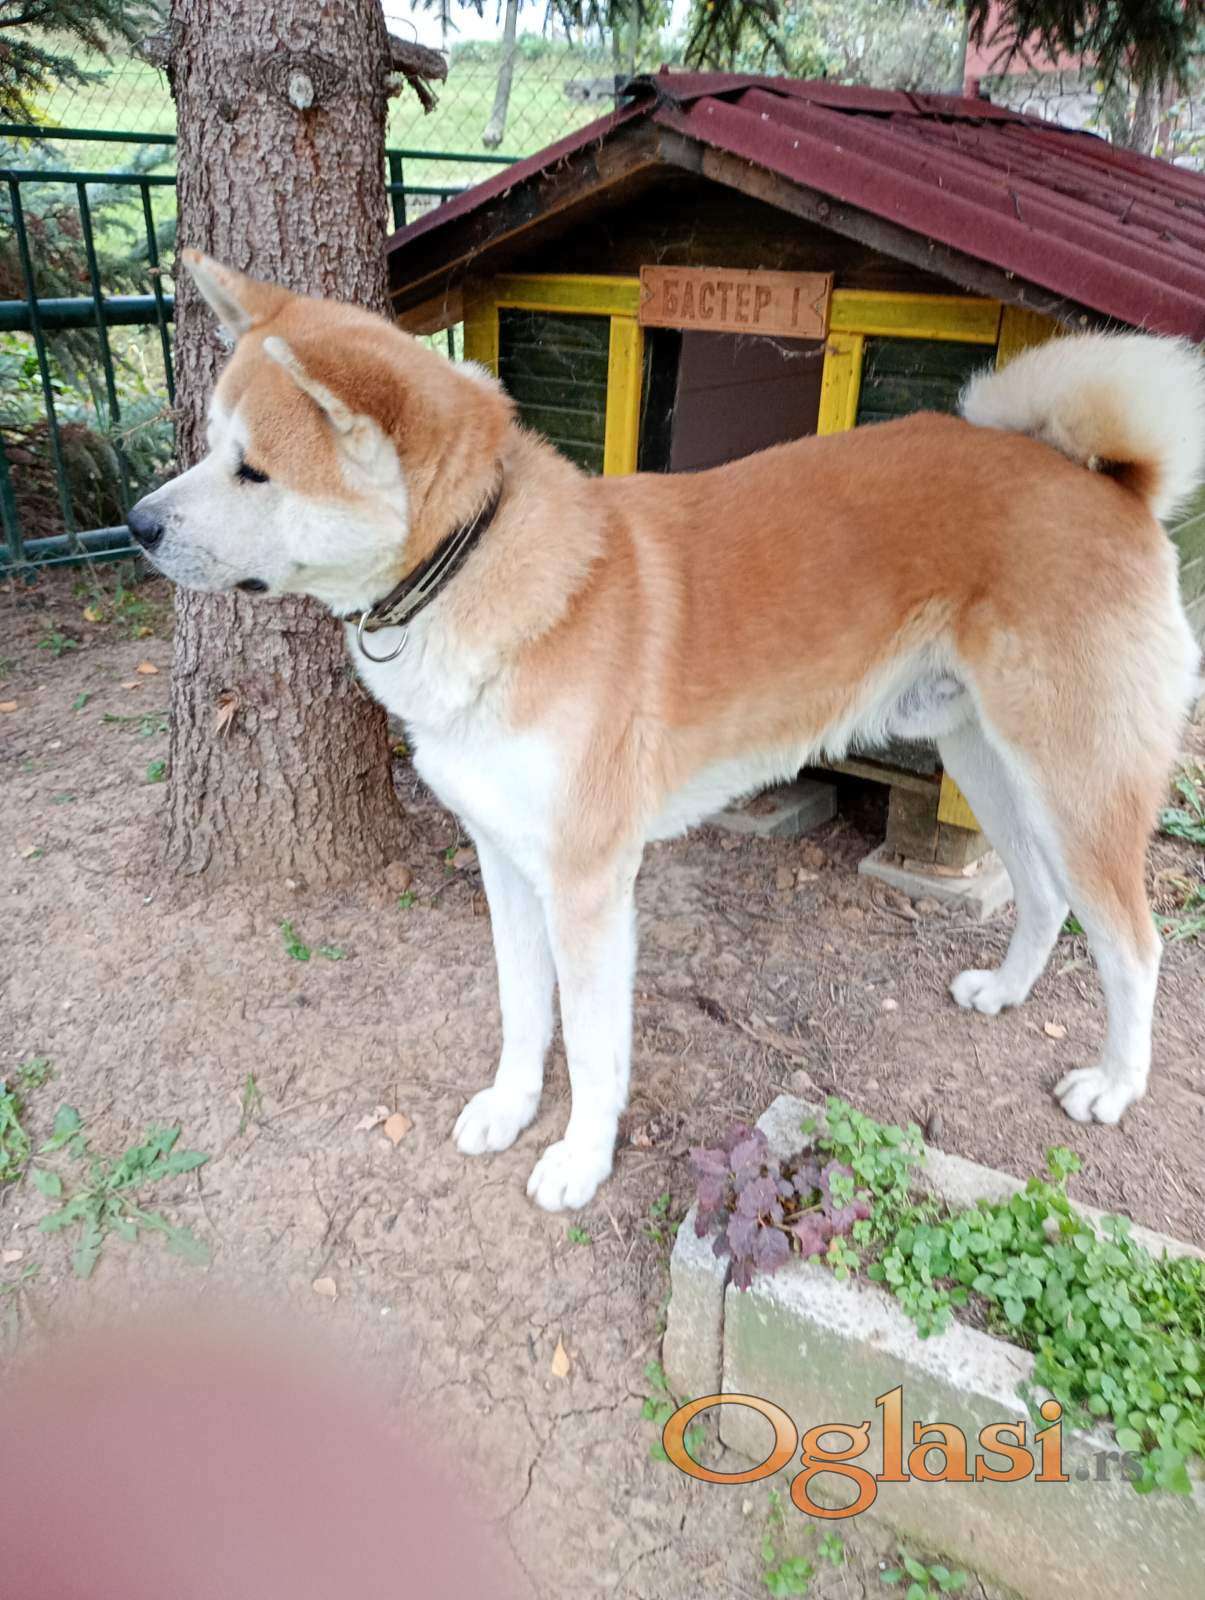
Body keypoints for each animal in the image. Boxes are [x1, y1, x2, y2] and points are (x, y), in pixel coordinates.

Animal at [128, 251, 1203, 1211]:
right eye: (211, 448)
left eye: (253, 471)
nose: (136, 524)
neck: (470, 564)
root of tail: (1106, 481)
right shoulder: (503, 859)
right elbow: (523, 1011)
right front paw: (510, 1107)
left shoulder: (588, 884)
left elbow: (594, 1046)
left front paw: (578, 1159)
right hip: (985, 761)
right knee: (1043, 896)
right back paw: (1006, 990)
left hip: (1073, 784)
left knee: (1132, 943)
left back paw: (1113, 1084)